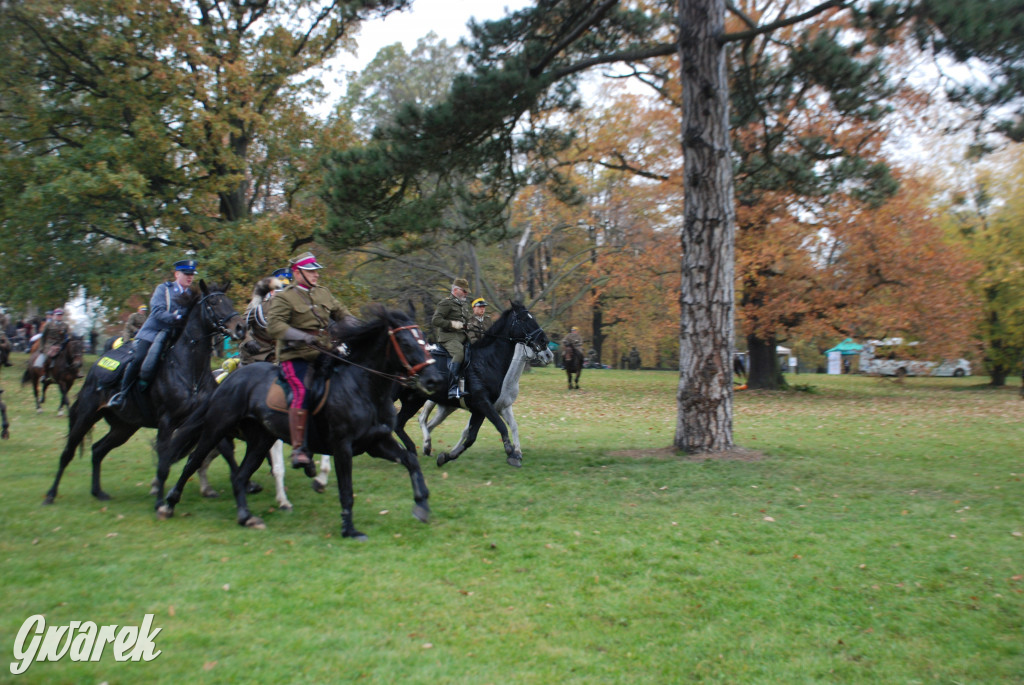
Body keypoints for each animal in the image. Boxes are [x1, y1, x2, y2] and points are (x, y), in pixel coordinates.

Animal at [44, 278, 245, 507]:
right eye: (212, 303)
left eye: (229, 301)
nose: (240, 327)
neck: (190, 372)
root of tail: (95, 369)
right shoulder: (167, 422)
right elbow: (164, 461)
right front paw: (160, 502)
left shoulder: (205, 419)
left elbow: (224, 450)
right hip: (87, 416)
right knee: (68, 452)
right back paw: (51, 494)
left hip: (124, 427)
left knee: (97, 450)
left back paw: (98, 492)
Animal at [160, 305, 444, 540]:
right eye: (406, 342)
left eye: (424, 339)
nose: (433, 380)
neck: (363, 387)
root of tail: (230, 378)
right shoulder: (343, 447)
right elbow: (346, 489)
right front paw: (349, 529)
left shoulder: (376, 443)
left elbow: (410, 461)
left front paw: (422, 505)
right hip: (216, 429)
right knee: (193, 461)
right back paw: (168, 504)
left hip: (261, 440)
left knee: (239, 475)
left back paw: (246, 516)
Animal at [393, 301, 552, 466]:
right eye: (523, 319)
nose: (545, 344)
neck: (486, 361)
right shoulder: (484, 404)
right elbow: (500, 427)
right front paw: (511, 453)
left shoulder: (483, 409)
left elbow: (472, 437)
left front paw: (447, 456)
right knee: (415, 420)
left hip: (416, 401)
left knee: (400, 424)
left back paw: (414, 449)